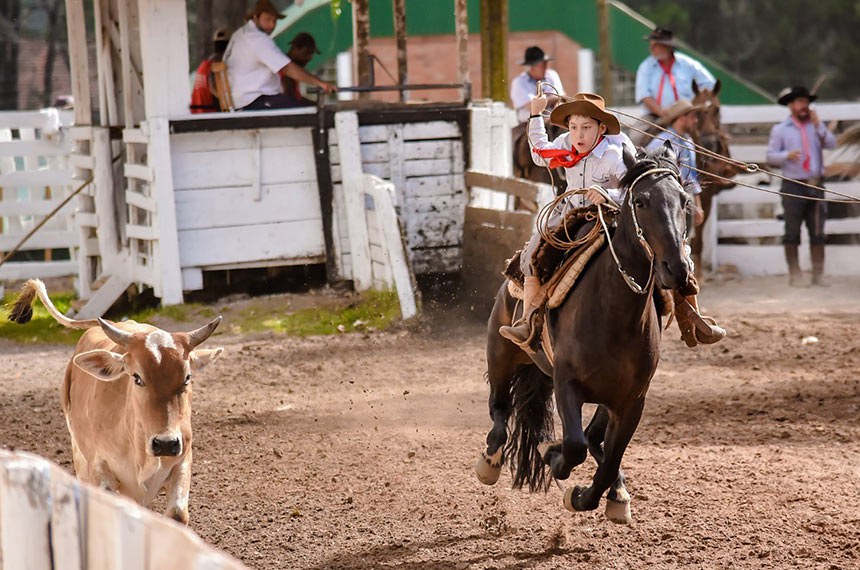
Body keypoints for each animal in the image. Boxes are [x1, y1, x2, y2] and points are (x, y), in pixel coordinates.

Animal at [7, 278, 222, 520]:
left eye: (187, 377)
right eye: (137, 377)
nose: (165, 443)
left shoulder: (183, 459)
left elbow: (176, 513)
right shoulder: (101, 468)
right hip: (79, 455)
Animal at [474, 144, 688, 520]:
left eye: (685, 201)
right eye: (640, 201)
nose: (676, 268)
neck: (615, 317)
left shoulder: (632, 401)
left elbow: (605, 457)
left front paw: (589, 495)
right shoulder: (566, 384)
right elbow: (574, 446)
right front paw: (552, 453)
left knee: (594, 439)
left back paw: (617, 491)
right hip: (499, 352)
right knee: (499, 411)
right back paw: (490, 462)